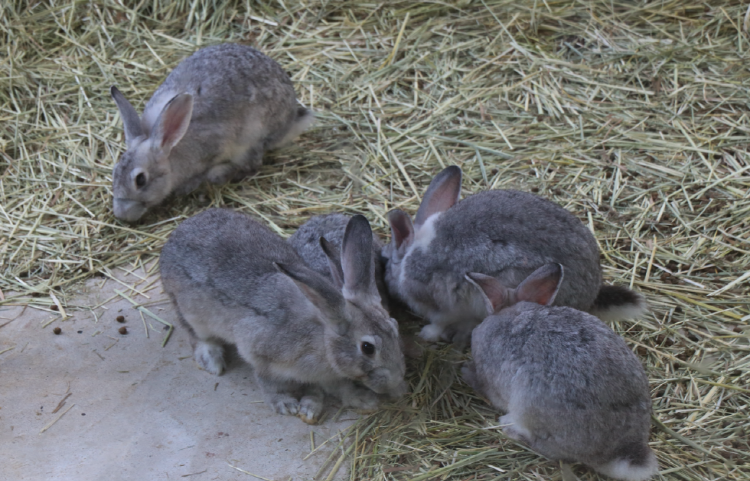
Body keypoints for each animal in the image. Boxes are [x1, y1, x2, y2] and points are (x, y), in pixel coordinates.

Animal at [109, 43, 314, 221]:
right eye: (115, 172)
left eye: (141, 180)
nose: (121, 214)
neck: (170, 149)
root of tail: (291, 120)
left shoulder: (215, 148)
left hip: (252, 137)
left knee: (252, 165)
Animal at [159, 208, 406, 422]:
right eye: (367, 348)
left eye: (395, 326)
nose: (396, 380)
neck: (322, 340)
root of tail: (175, 236)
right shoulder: (259, 354)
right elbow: (268, 383)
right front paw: (286, 404)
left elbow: (336, 388)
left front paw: (360, 400)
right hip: (190, 312)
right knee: (196, 335)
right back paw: (212, 360)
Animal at [382, 164, 648, 344]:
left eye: (388, 261)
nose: (387, 282)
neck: (411, 253)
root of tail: (590, 298)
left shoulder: (442, 304)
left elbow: (440, 321)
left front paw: (427, 335)